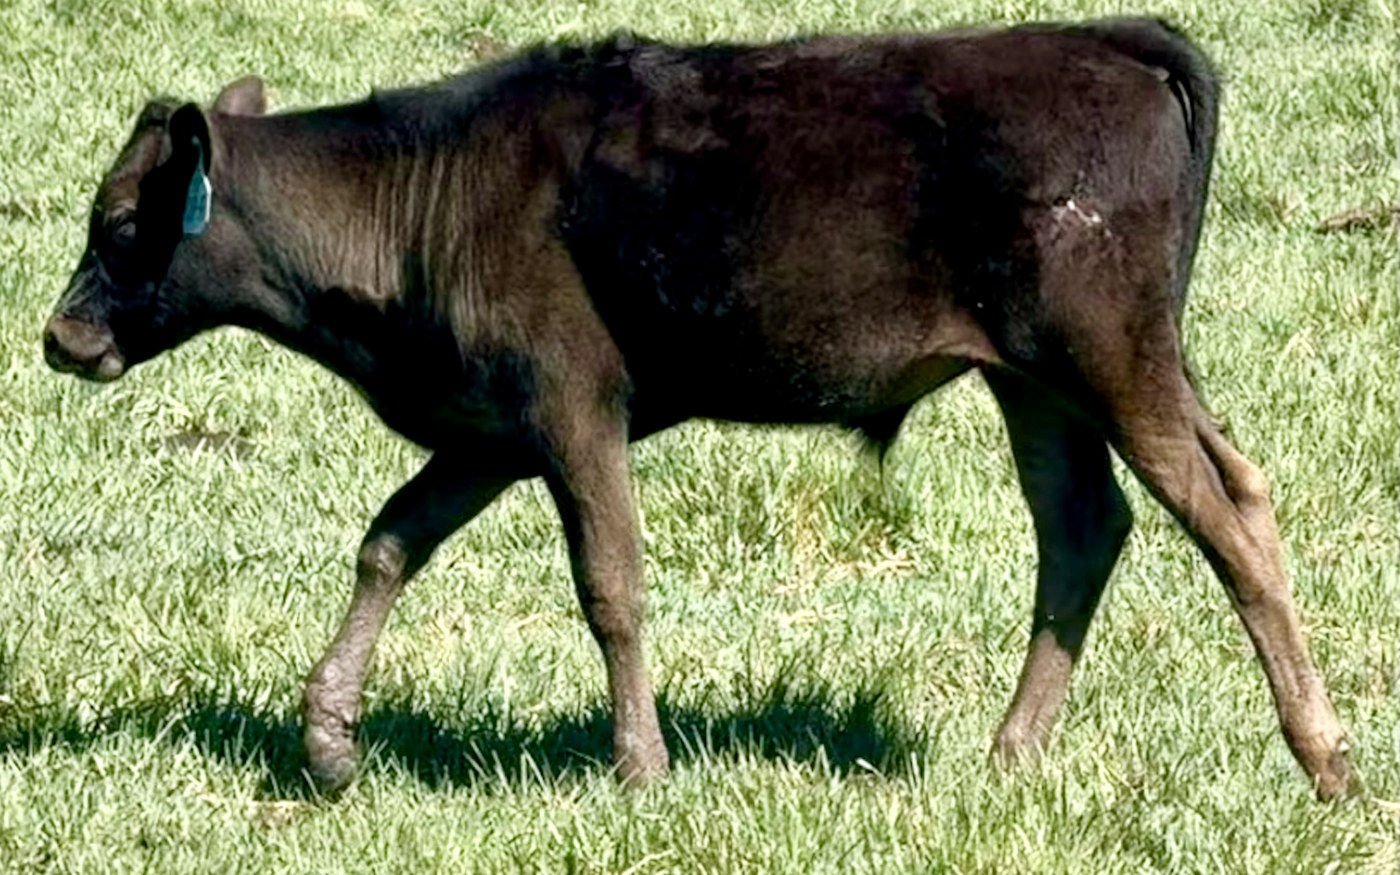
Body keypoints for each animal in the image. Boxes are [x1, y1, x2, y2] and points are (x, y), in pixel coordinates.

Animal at [42, 17, 1354, 799]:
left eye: (121, 220)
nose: (60, 336)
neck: (426, 197)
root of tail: (1103, 37)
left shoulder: (574, 406)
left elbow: (609, 586)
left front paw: (639, 764)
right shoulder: (486, 429)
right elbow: (388, 543)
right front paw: (326, 739)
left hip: (1111, 359)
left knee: (1227, 520)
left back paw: (1323, 755)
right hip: (1043, 379)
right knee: (1092, 525)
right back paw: (1008, 751)